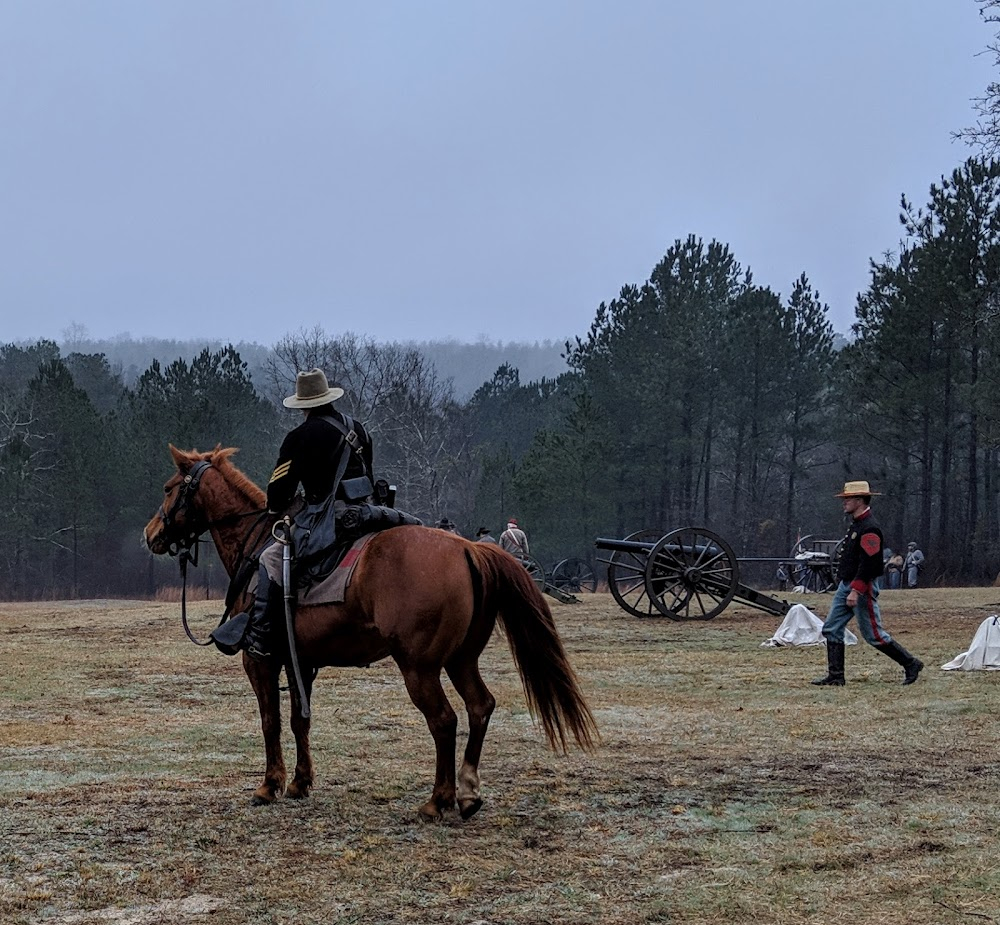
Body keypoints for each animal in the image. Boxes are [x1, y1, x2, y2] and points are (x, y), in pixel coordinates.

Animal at [145, 446, 596, 816]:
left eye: (169, 488)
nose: (151, 534)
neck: (254, 546)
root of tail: (468, 547)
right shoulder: (299, 662)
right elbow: (299, 720)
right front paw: (300, 782)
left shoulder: (259, 660)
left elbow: (270, 720)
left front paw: (269, 785)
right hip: (460, 660)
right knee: (480, 707)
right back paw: (468, 794)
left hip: (419, 668)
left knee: (444, 720)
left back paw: (438, 801)